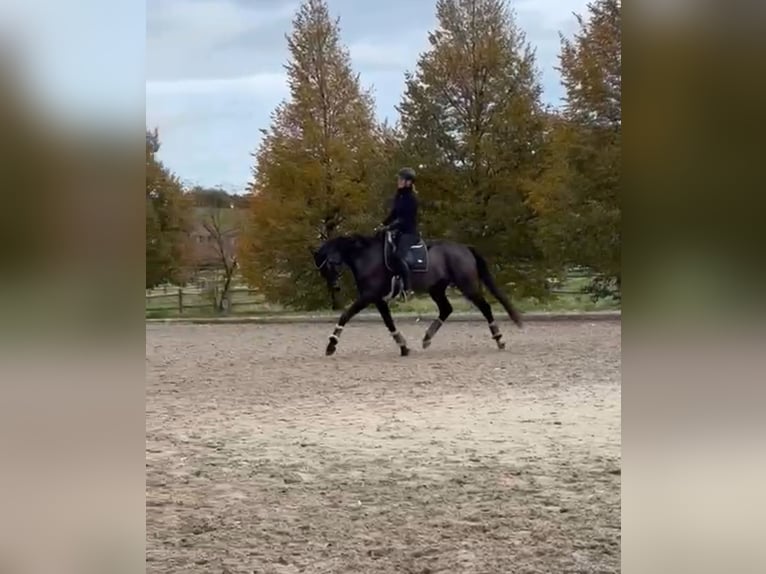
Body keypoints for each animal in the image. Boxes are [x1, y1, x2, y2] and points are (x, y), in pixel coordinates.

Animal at [310, 232, 520, 358]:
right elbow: (389, 323)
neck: (366, 257)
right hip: (437, 289)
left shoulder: (368, 296)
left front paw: (331, 344)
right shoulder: (378, 299)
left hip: (466, 285)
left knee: (485, 307)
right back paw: (427, 338)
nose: (335, 287)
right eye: (322, 271)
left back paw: (499, 338)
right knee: (446, 309)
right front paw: (403, 346)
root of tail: (464, 248)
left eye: (329, 265)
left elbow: (346, 314)